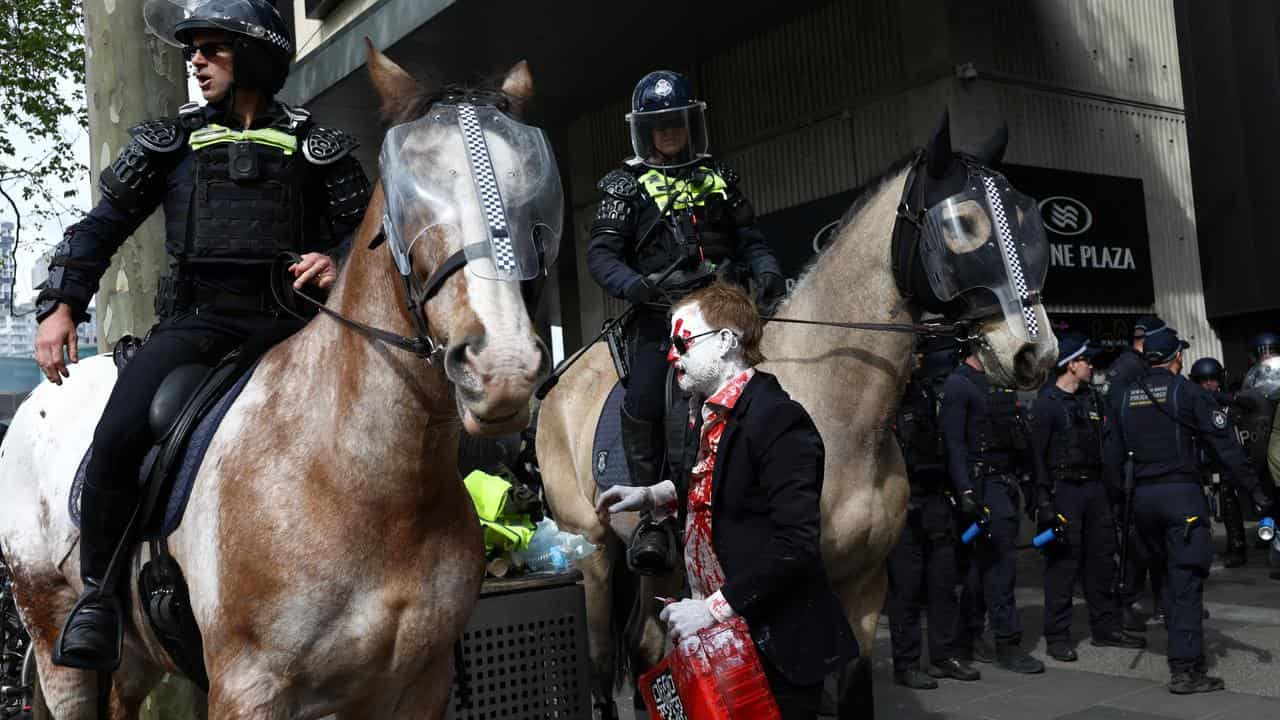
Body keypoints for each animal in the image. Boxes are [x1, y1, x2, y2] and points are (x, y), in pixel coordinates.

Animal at [0, 47, 555, 712]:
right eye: (404, 198)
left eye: (532, 194)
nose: (502, 368)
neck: (370, 485)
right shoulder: (248, 687)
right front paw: (56, 320)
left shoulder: (414, 689)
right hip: (52, 635)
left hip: (133, 660)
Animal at [535, 117, 1054, 712]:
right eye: (963, 223)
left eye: (1028, 219)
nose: (1035, 354)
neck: (841, 420)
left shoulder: (863, 589)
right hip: (591, 555)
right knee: (601, 666)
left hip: (652, 568)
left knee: (644, 646)